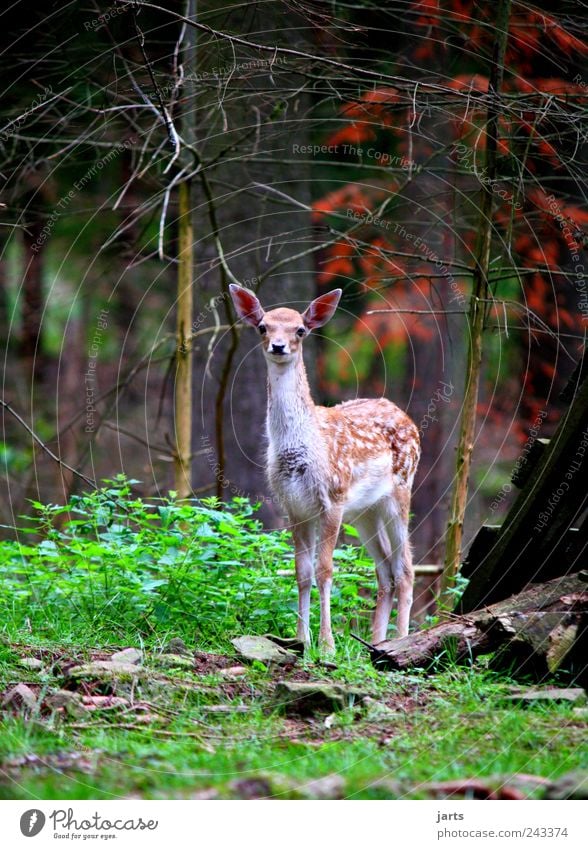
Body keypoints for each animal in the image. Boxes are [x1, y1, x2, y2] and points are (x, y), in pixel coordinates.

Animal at [229, 282, 418, 652]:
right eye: (263, 327)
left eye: (300, 330)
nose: (278, 346)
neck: (301, 450)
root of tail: (407, 418)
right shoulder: (294, 506)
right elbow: (301, 572)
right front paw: (300, 639)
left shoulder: (332, 497)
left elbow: (325, 570)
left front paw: (327, 644)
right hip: (365, 511)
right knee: (385, 570)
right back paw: (374, 644)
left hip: (400, 490)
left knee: (406, 569)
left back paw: (400, 642)